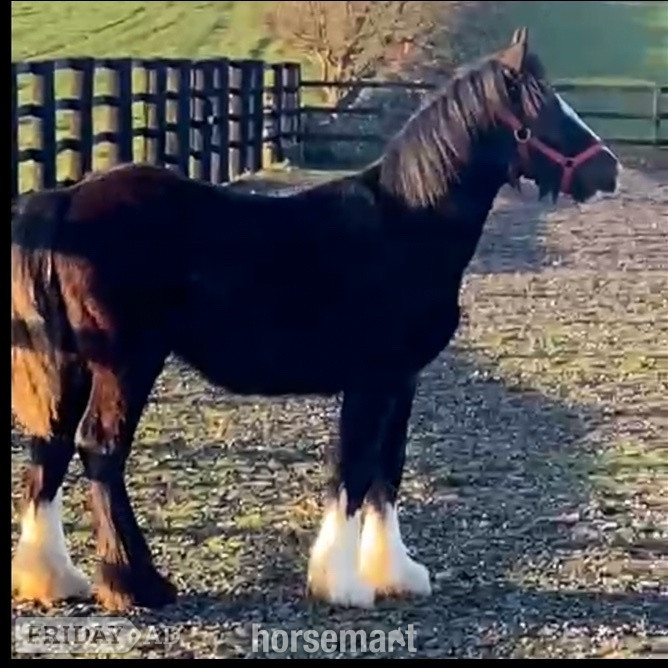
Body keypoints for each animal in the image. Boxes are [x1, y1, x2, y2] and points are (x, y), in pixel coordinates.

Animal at [11, 27, 620, 612]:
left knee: (52, 448)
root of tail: (66, 200)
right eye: (545, 108)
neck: (406, 223)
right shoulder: (371, 380)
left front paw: (396, 573)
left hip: (73, 362)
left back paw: (55, 578)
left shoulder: (402, 380)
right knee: (101, 450)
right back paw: (137, 585)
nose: (608, 169)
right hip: (127, 363)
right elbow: (354, 470)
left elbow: (387, 471)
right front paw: (343, 584)